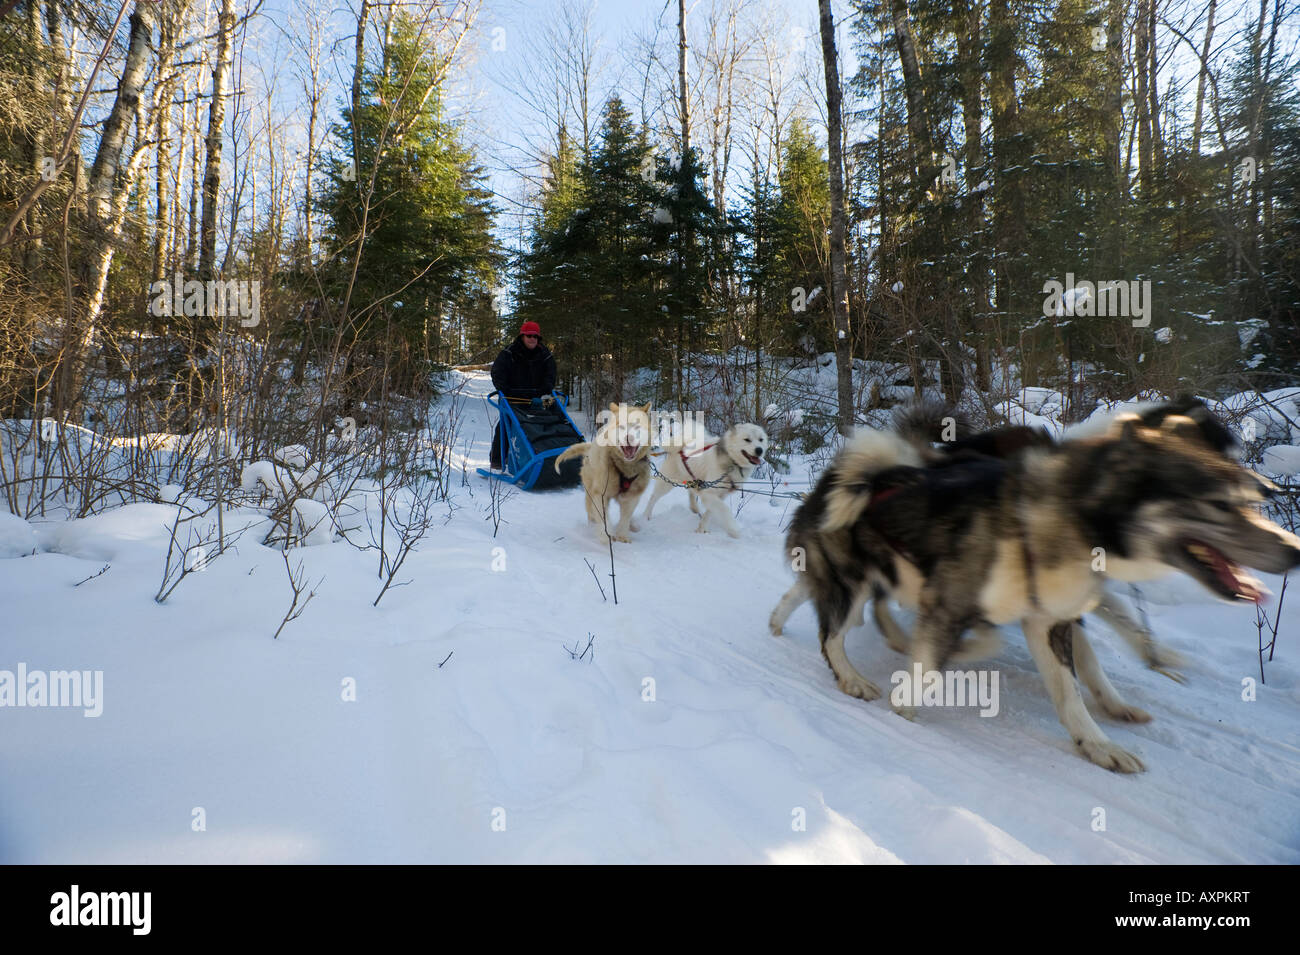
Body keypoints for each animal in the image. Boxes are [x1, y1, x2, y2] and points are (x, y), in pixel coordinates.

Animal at [769, 407, 1300, 774]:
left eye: (1246, 499)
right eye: (1218, 503)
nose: (1293, 550)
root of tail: (846, 475)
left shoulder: (1051, 619)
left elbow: (1073, 688)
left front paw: (1098, 742)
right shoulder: (949, 605)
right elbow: (933, 669)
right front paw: (907, 708)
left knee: (813, 597)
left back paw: (786, 622)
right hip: (853, 581)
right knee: (832, 635)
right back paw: (852, 677)